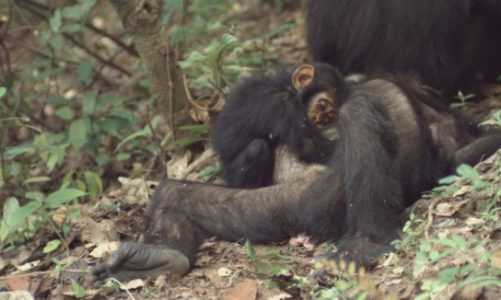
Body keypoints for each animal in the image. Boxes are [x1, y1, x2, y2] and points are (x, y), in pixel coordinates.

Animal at [94, 63, 500, 282]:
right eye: (322, 106)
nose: (325, 117)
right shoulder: (282, 106)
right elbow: (308, 140)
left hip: (308, 203)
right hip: (294, 204)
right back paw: (156, 257)